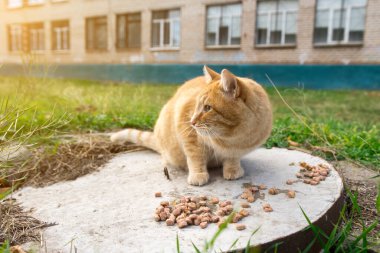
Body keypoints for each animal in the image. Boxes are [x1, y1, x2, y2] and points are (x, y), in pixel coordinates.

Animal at [110, 66, 274, 186]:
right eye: (197, 105)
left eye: (207, 108)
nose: (192, 122)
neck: (233, 136)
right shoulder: (188, 132)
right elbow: (195, 156)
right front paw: (198, 175)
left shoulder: (235, 149)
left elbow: (232, 158)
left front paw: (232, 170)